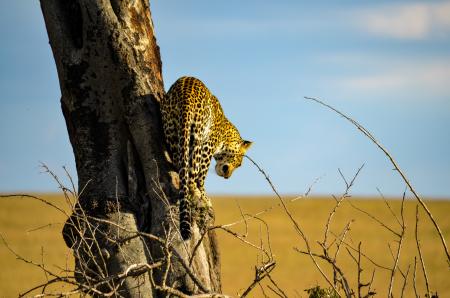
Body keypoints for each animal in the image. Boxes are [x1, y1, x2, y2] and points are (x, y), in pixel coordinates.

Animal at [161, 76, 253, 240]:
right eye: (239, 164)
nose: (227, 177)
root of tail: (186, 96)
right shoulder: (209, 145)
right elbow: (201, 176)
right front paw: (205, 197)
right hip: (198, 136)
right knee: (192, 175)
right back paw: (198, 195)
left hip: (171, 130)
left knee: (180, 165)